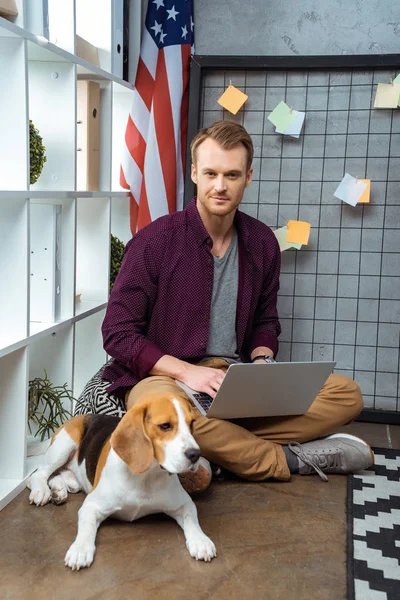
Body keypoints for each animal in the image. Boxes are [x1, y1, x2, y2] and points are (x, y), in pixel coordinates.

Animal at [27, 392, 217, 568]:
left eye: (192, 423)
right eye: (165, 426)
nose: (195, 454)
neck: (145, 476)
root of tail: (79, 417)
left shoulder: (184, 504)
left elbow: (192, 520)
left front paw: (201, 541)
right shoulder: (91, 506)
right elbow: (87, 527)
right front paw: (80, 549)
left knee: (58, 476)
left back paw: (58, 491)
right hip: (64, 446)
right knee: (38, 474)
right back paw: (42, 491)